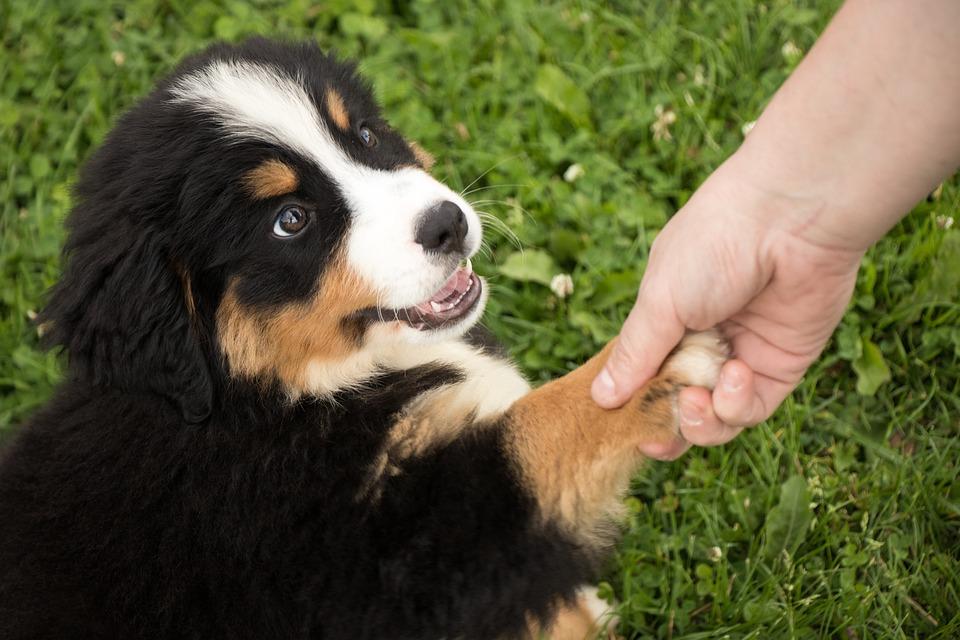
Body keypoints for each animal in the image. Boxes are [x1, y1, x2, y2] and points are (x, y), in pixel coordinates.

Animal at [0, 37, 724, 636]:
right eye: (290, 220)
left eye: (368, 137)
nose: (447, 224)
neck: (271, 400)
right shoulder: (390, 565)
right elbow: (529, 439)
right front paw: (650, 369)